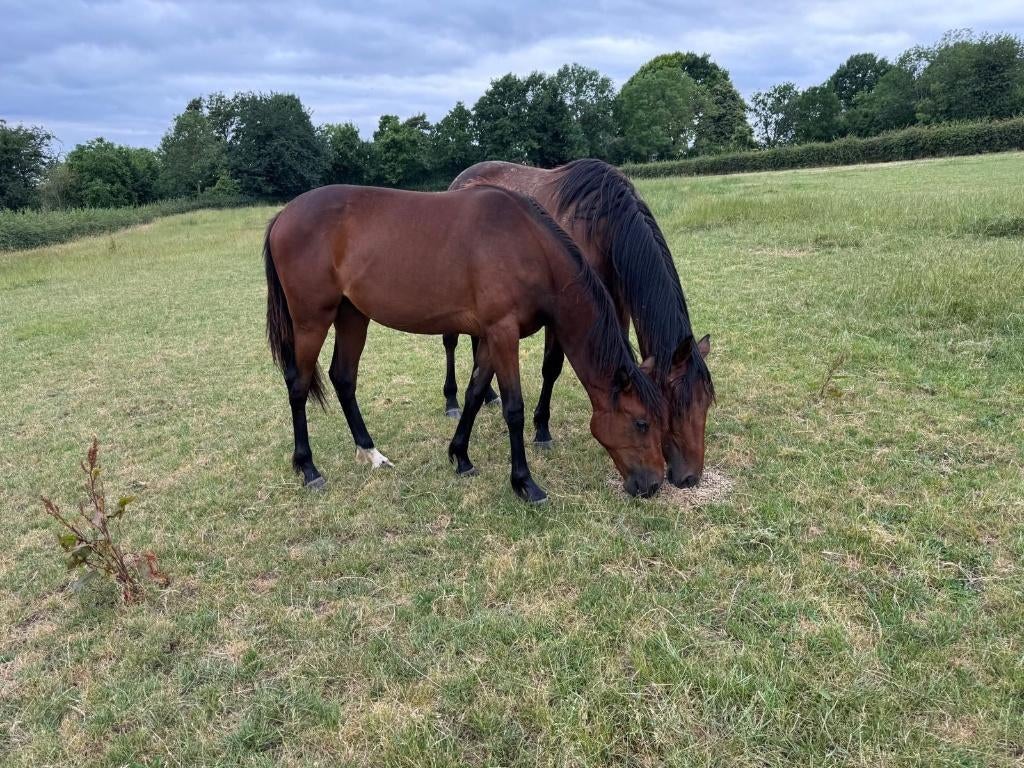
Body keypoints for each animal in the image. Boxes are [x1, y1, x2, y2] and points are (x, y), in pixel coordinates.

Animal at [264, 183, 668, 503]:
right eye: (642, 423)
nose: (652, 484)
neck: (527, 245)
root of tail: (283, 216)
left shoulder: (490, 336)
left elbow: (475, 394)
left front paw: (461, 457)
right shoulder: (503, 332)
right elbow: (514, 409)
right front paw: (525, 484)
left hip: (352, 316)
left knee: (343, 378)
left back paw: (371, 453)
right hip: (312, 321)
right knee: (298, 385)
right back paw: (308, 468)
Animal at [441, 159, 714, 488]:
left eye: (706, 403)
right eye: (674, 404)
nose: (690, 477)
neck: (601, 226)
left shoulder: (616, 305)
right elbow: (552, 367)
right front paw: (542, 430)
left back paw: (491, 395)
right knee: (450, 343)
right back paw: (451, 400)